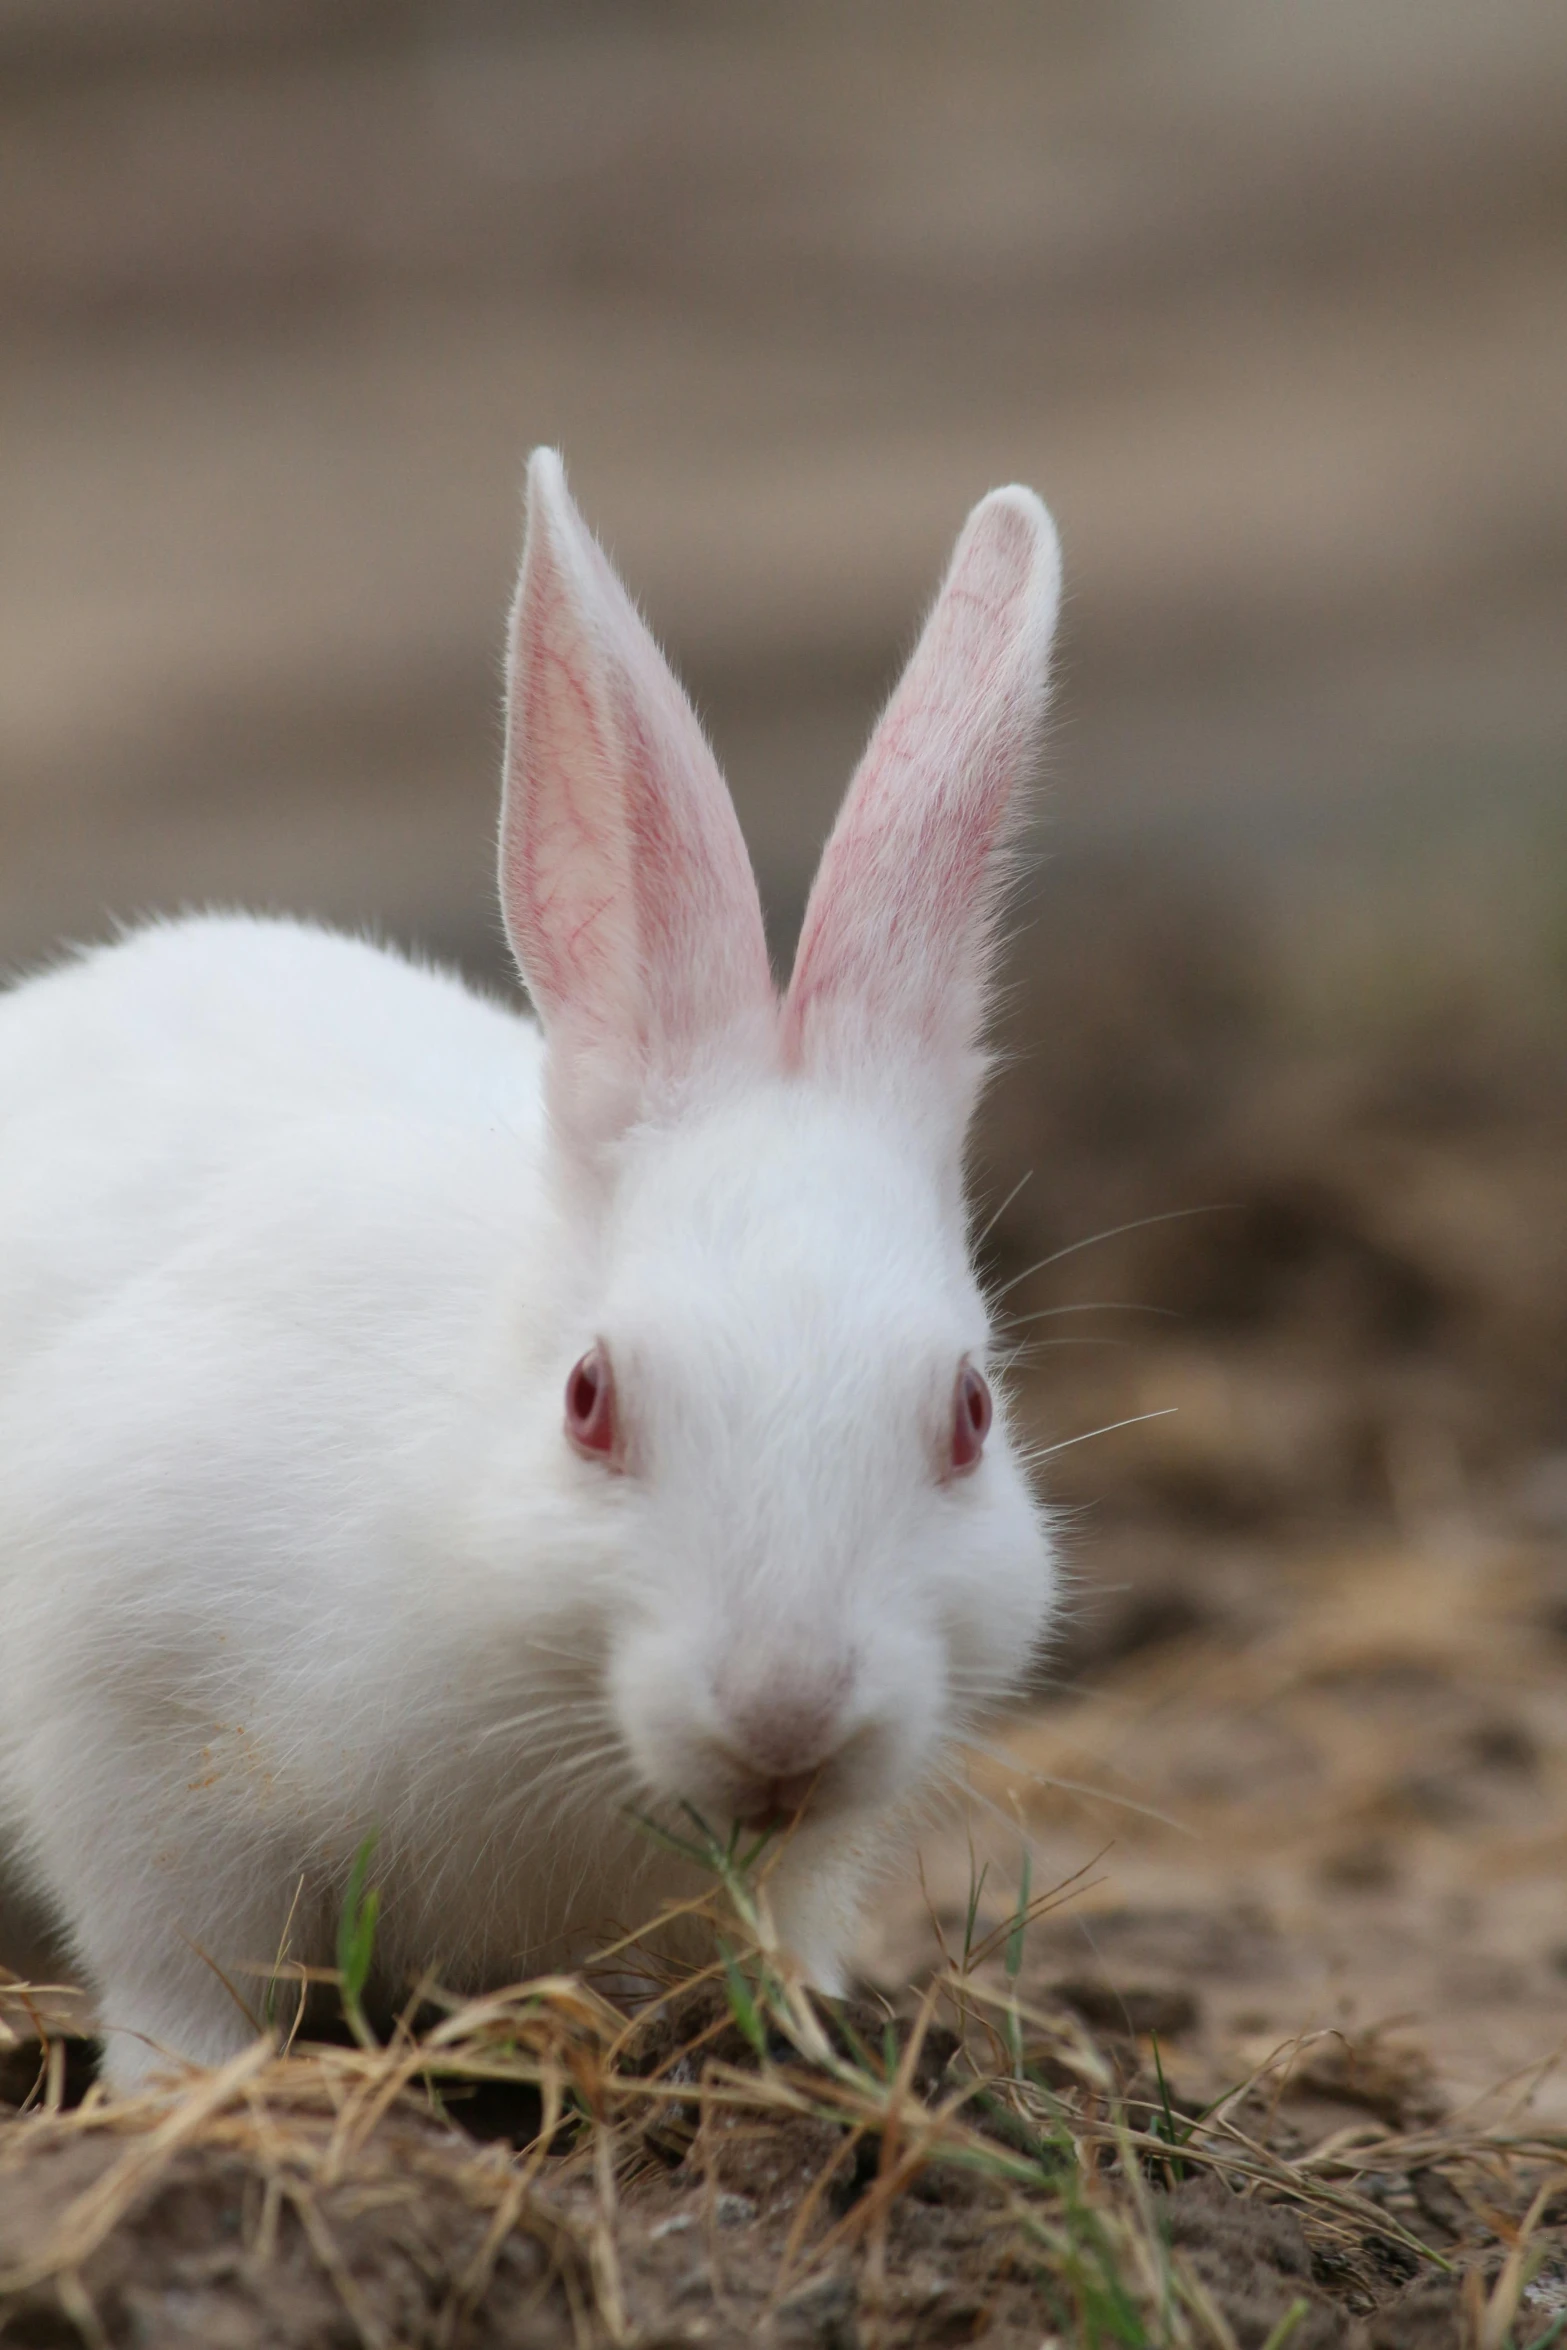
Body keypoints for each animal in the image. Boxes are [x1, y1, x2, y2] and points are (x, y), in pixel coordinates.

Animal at [0, 448, 1061, 2086]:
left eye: (967, 1413)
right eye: (588, 1398)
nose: (788, 1717)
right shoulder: (127, 1715)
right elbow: (175, 1969)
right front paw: (188, 2085)